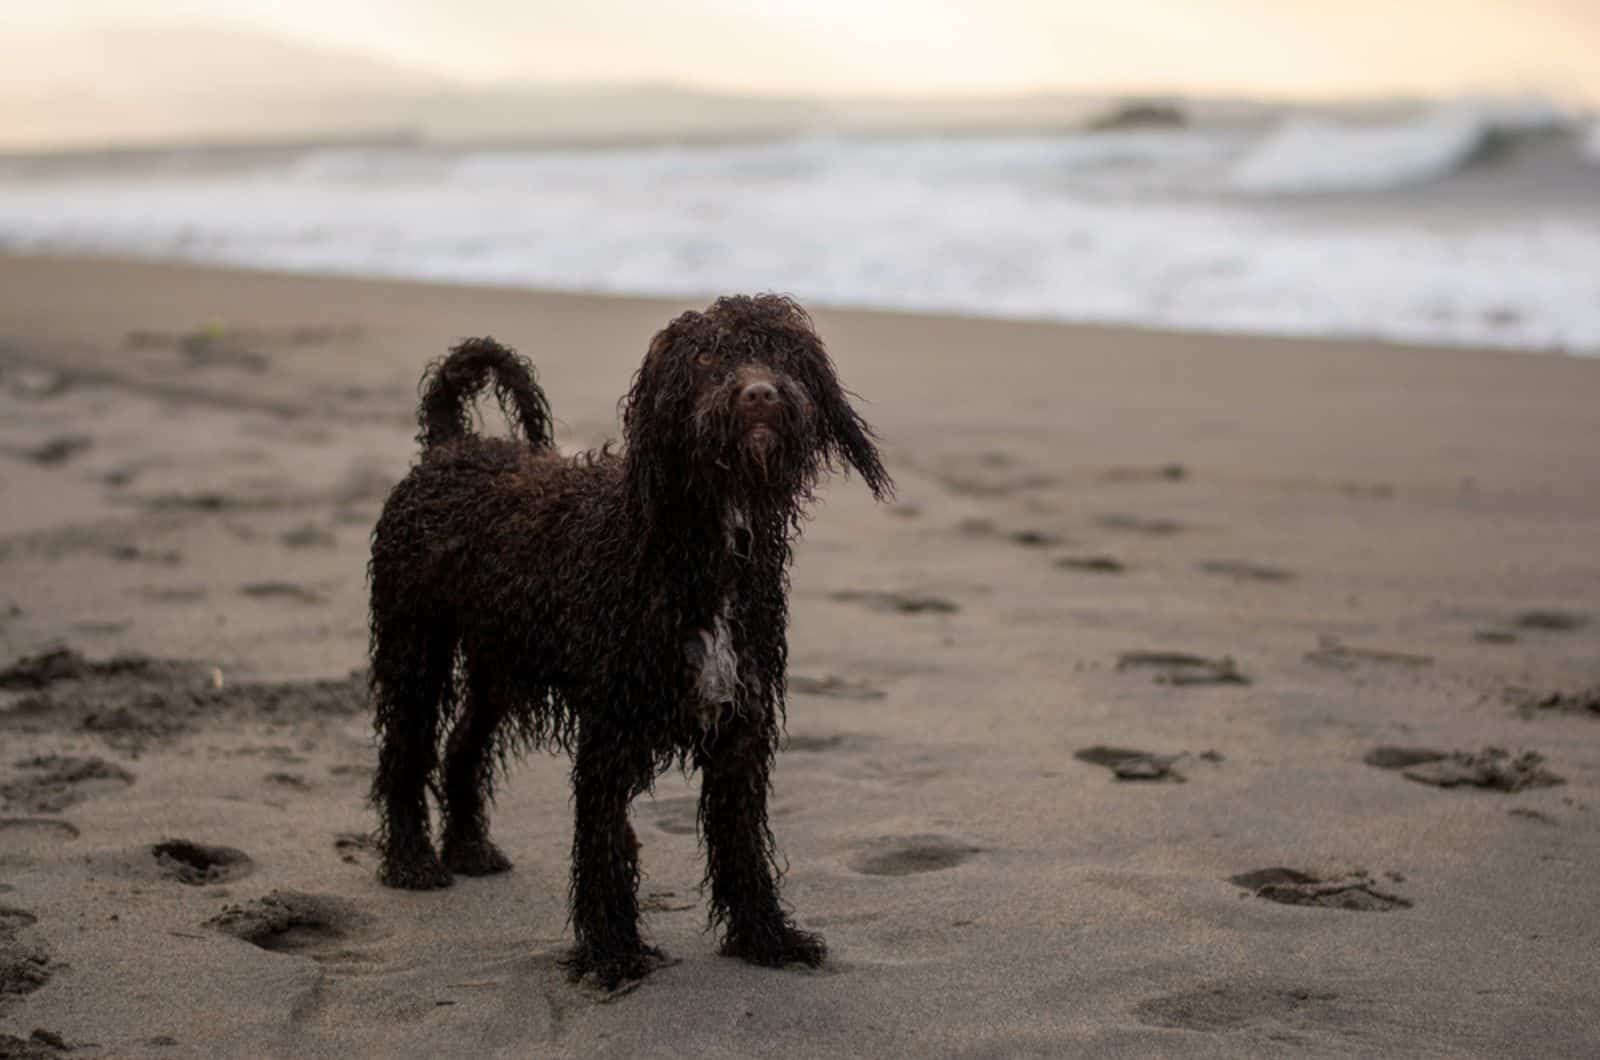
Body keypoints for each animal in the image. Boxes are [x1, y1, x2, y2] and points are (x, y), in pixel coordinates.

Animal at [368, 291, 896, 986]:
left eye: (781, 354)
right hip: (415, 645)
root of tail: (450, 446)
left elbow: (742, 842)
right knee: (406, 751)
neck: (693, 542)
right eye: (706, 360)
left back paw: (470, 848)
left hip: (499, 662)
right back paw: (411, 860)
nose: (759, 394)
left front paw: (766, 936)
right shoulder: (612, 728)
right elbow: (604, 843)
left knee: (462, 745)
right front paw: (613, 951)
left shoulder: (741, 725)